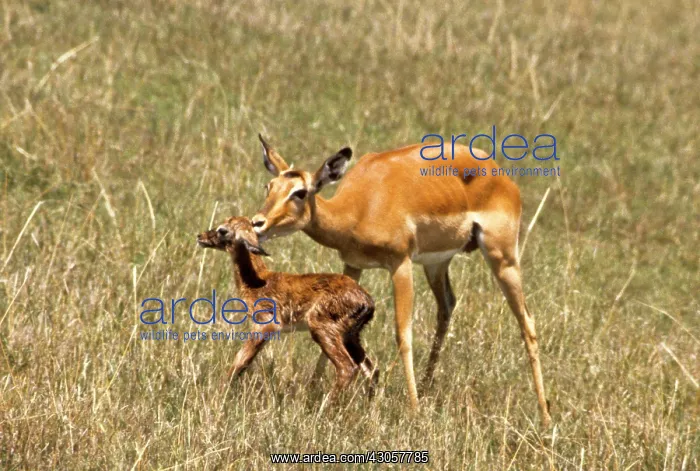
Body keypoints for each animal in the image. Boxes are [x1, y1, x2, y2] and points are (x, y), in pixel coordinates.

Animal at [197, 216, 378, 399]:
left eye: (222, 230)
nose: (200, 236)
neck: (257, 280)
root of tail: (368, 303)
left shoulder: (266, 324)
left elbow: (240, 360)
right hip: (351, 336)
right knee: (371, 369)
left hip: (323, 328)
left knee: (347, 367)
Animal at [250, 135, 552, 426]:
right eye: (270, 186)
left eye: (299, 192)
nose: (257, 222)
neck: (361, 205)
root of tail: (500, 174)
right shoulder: (353, 265)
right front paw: (313, 391)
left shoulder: (400, 264)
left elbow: (403, 334)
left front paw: (414, 410)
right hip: (436, 264)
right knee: (447, 307)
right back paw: (427, 387)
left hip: (502, 258)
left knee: (527, 322)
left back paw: (545, 415)